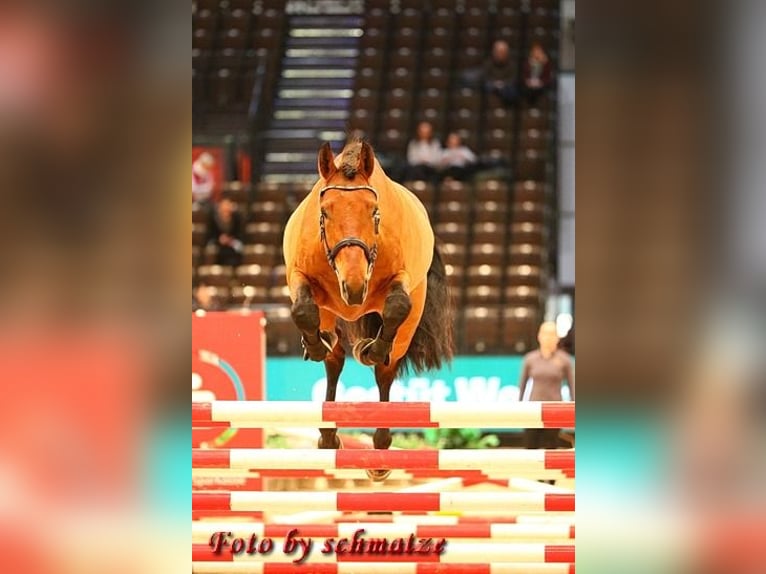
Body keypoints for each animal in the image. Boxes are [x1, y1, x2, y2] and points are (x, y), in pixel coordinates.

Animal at [283, 140, 454, 480]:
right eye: (324, 212)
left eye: (374, 212)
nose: (353, 287)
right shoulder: (299, 276)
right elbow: (303, 310)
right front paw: (315, 344)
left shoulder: (401, 283)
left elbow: (397, 307)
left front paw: (370, 350)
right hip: (331, 312)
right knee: (334, 359)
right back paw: (327, 437)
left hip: (406, 329)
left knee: (385, 372)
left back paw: (380, 449)